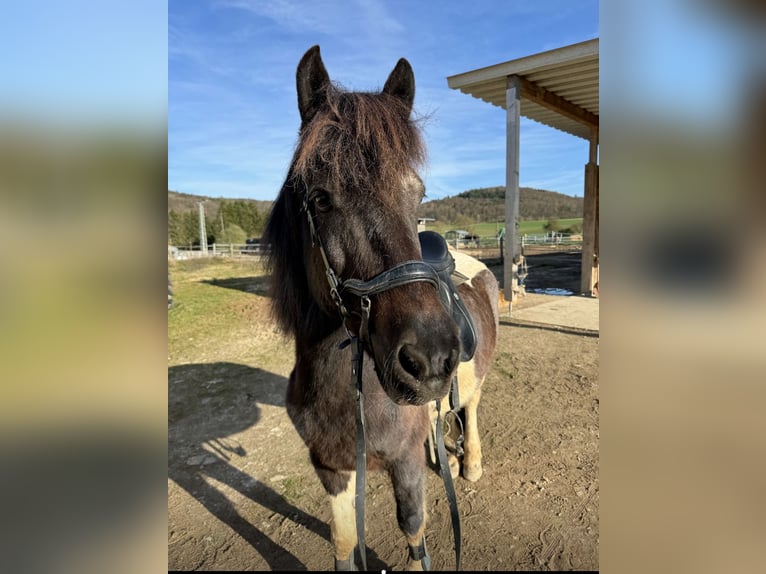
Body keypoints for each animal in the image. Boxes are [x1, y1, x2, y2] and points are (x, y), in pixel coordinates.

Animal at [264, 44, 504, 572]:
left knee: (472, 407)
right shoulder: (331, 468)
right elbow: (343, 542)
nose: (430, 360)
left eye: (418, 195)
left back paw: (471, 463)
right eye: (320, 198)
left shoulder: (404, 464)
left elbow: (414, 532)